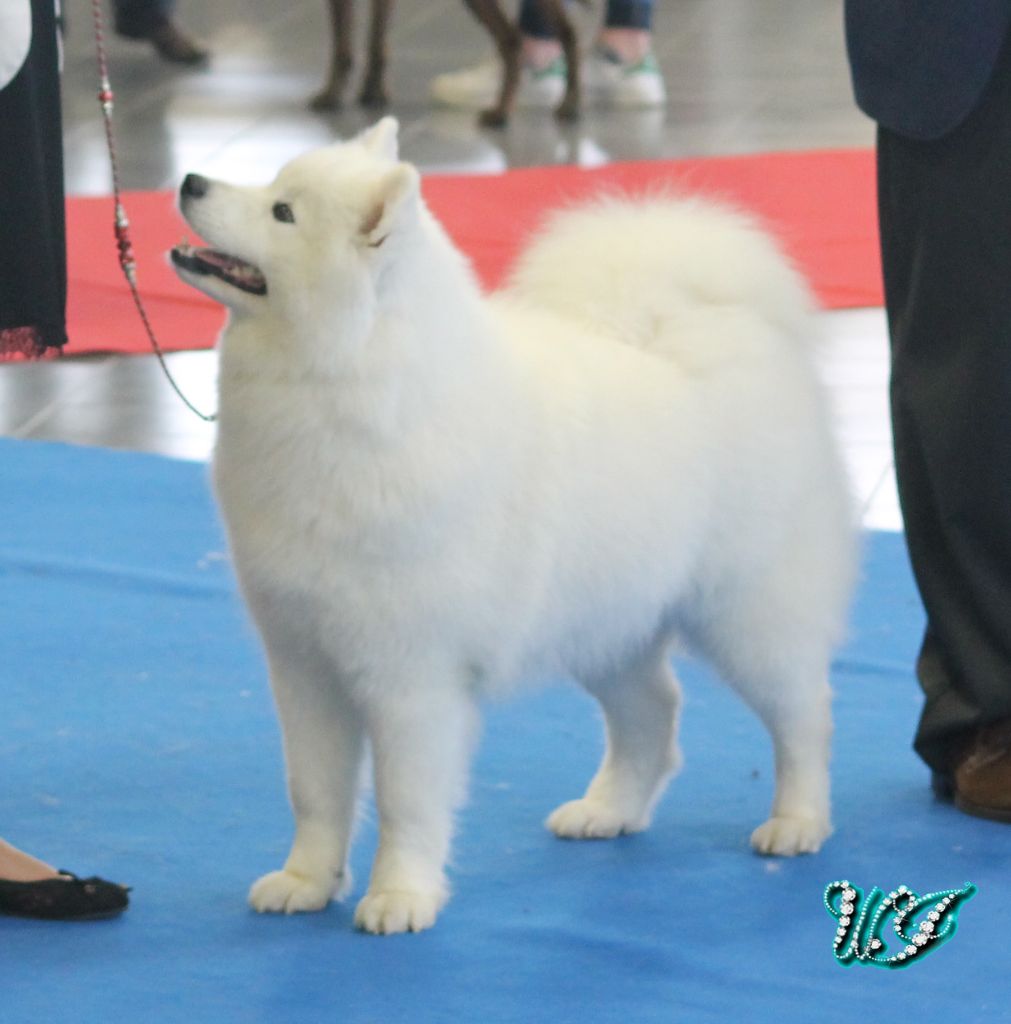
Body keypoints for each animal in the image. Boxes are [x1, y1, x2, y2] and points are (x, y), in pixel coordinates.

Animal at [172, 117, 852, 937]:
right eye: (274, 187)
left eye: (283, 213)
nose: (190, 183)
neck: (346, 387)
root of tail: (714, 326)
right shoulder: (304, 662)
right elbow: (314, 790)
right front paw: (305, 882)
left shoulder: (411, 676)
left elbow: (403, 800)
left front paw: (399, 897)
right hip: (604, 622)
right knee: (654, 711)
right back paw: (606, 810)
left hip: (746, 616)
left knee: (804, 716)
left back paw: (797, 823)